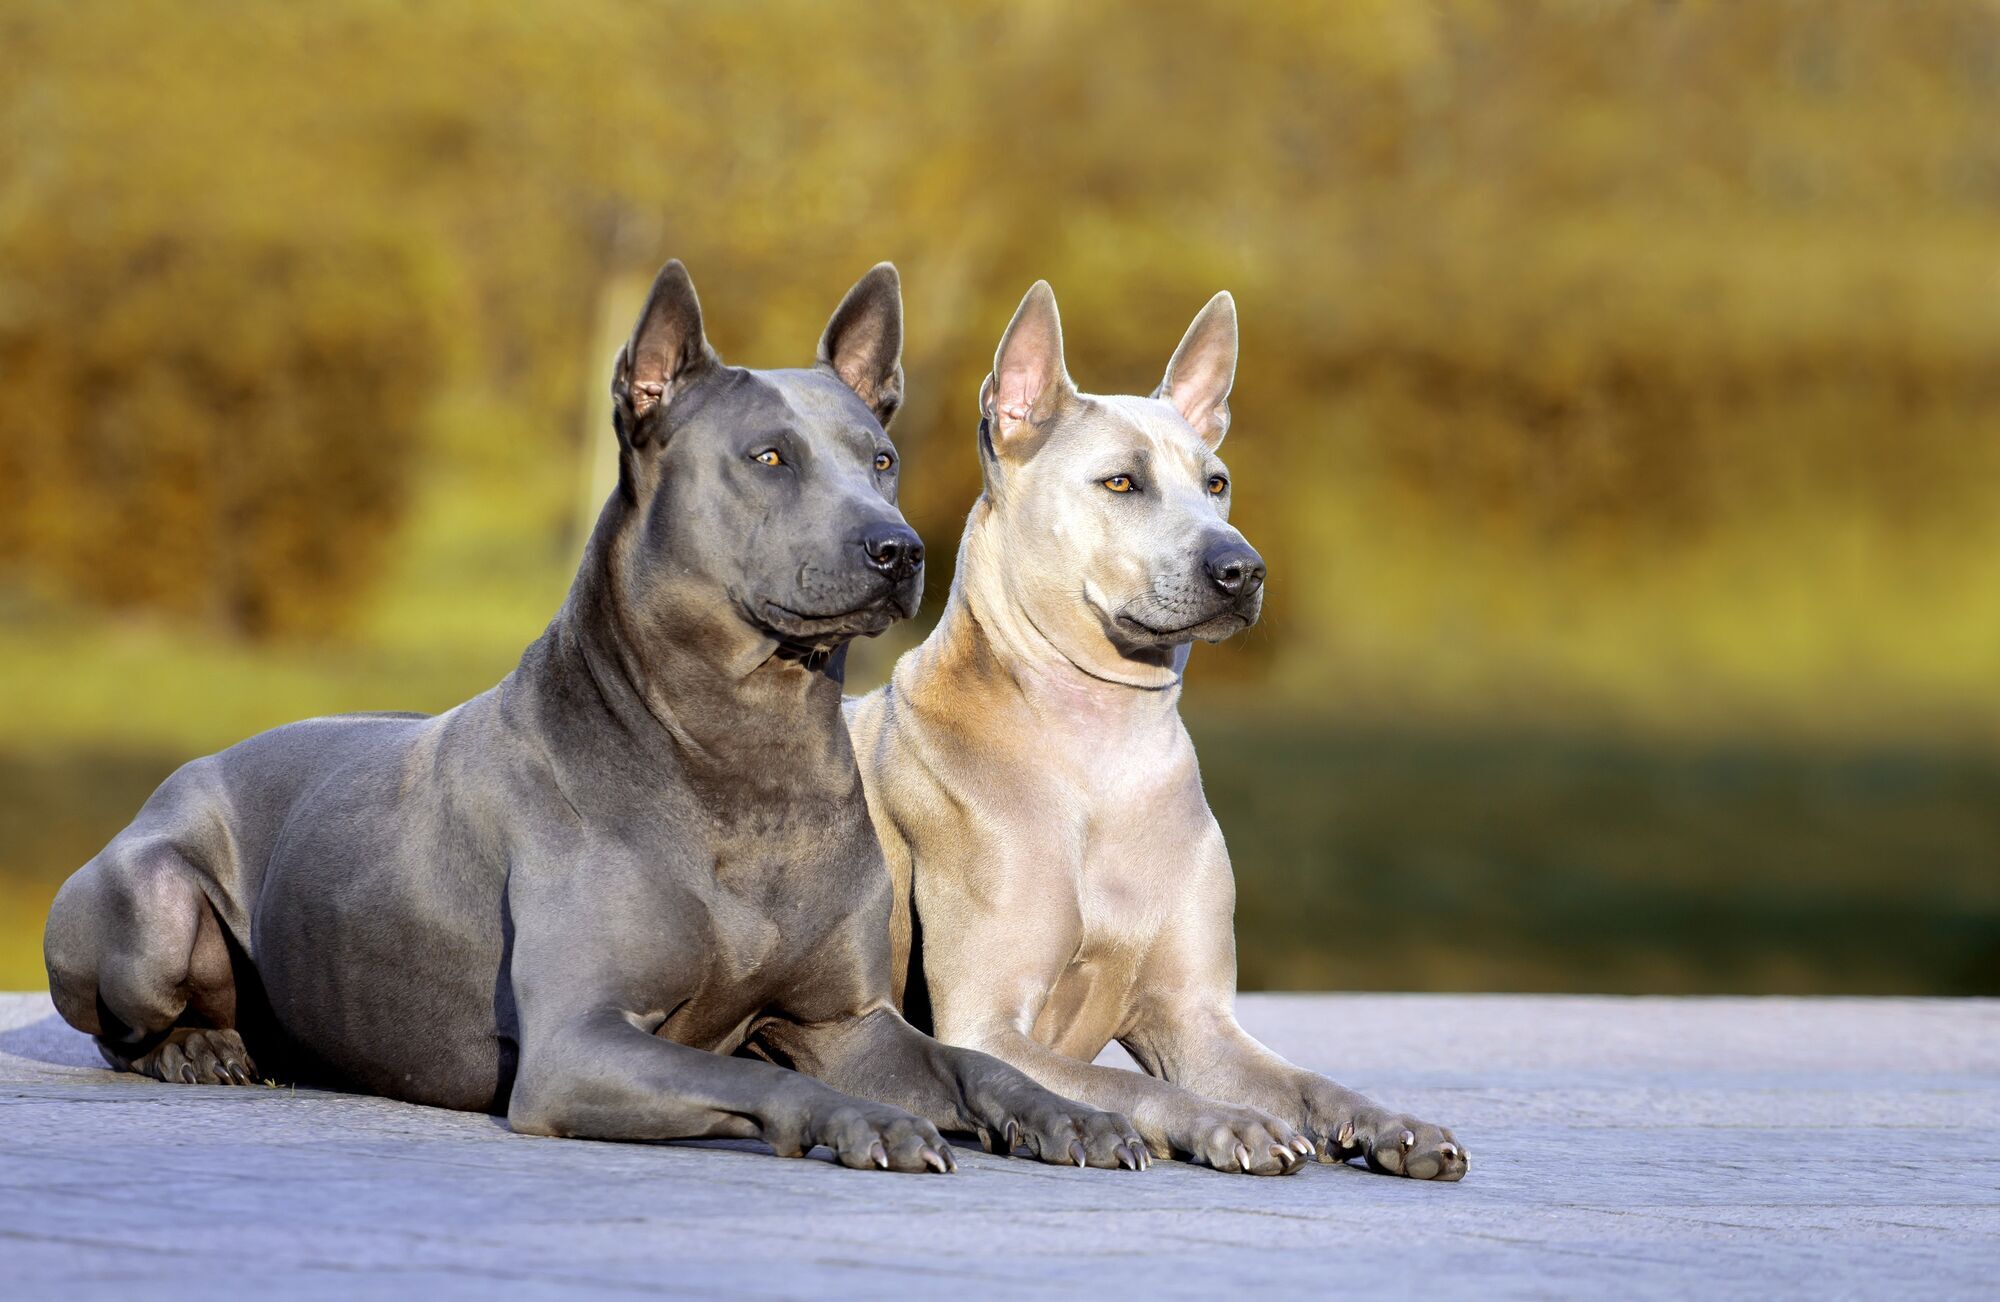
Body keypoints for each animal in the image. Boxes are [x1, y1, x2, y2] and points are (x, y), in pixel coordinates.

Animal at [43, 260, 1144, 1176]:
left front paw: (1073, 1115)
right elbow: (753, 1072)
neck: (750, 752)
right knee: (123, 1028)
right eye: (770, 458)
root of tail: (184, 773)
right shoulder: (579, 1047)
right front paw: (866, 1122)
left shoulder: (847, 1023)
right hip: (153, 902)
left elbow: (973, 1064)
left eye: (878, 458)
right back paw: (200, 1048)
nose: (898, 549)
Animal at [844, 282, 1472, 1184]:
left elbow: (1308, 1081)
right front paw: (1228, 1123)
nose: (1243, 569)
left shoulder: (1196, 1020)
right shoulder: (987, 1026)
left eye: (1216, 482)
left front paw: (1394, 1124)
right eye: (1120, 482)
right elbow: (1122, 1086)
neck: (1103, 749)